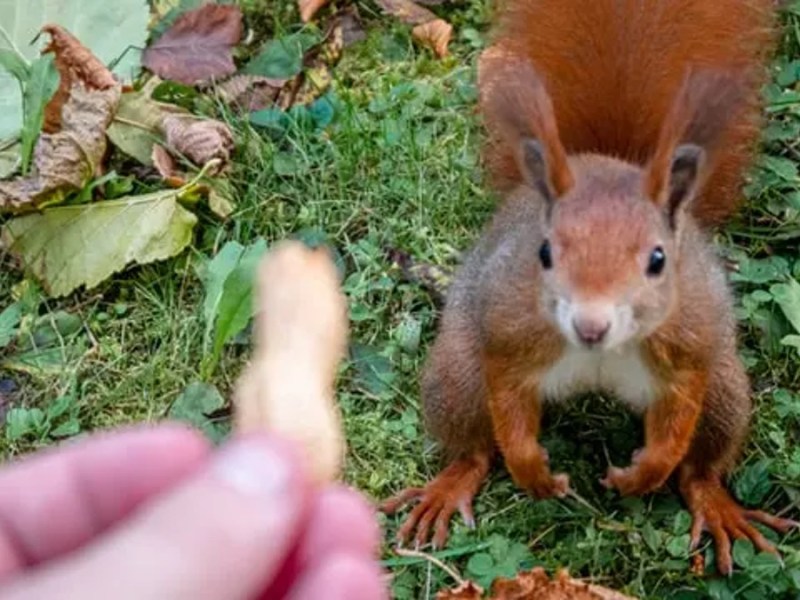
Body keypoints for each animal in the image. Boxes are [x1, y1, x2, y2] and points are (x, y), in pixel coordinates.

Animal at [380, 0, 792, 576]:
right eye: (544, 253)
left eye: (659, 259)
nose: (590, 325)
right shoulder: (508, 328)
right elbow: (507, 396)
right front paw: (533, 471)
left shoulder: (690, 340)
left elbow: (679, 412)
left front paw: (643, 473)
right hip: (456, 373)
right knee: (473, 446)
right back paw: (450, 485)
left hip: (726, 393)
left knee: (701, 463)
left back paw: (715, 503)